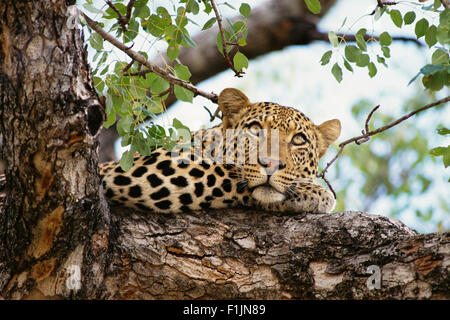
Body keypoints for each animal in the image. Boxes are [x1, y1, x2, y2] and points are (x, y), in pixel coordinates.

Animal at [99, 87, 342, 215]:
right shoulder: (150, 168)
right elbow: (226, 174)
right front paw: (317, 193)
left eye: (299, 140)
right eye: (255, 129)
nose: (271, 164)